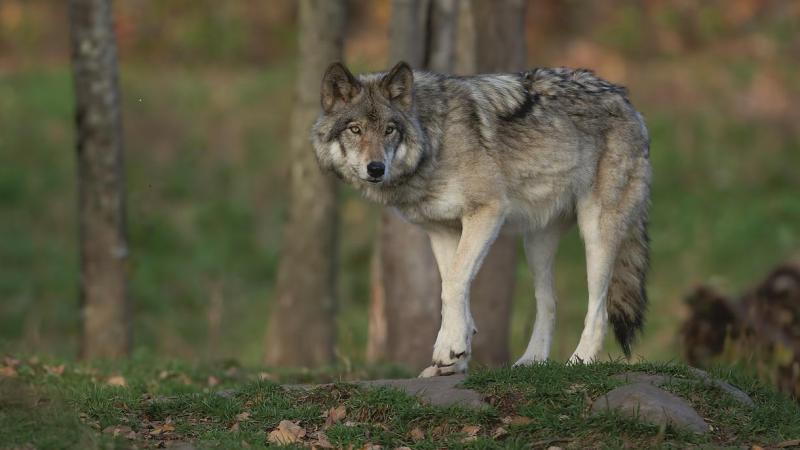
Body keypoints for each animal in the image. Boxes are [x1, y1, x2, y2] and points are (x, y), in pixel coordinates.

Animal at [312, 61, 651, 377]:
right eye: (355, 129)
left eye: (389, 130)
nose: (376, 168)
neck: (435, 140)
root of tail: (627, 100)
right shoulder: (442, 230)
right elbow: (453, 286)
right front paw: (454, 356)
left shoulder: (488, 212)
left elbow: (453, 283)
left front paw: (449, 348)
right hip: (536, 244)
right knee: (549, 303)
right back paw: (531, 362)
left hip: (596, 234)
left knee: (598, 309)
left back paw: (580, 361)